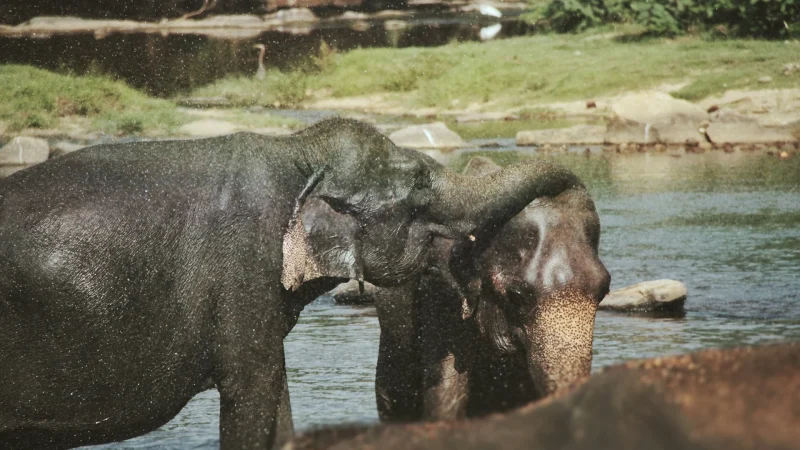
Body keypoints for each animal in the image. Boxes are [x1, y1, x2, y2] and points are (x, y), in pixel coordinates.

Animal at [0, 118, 584, 449]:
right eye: (420, 197)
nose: (570, 193)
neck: (296, 154)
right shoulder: (241, 273)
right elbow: (252, 397)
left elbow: (277, 398)